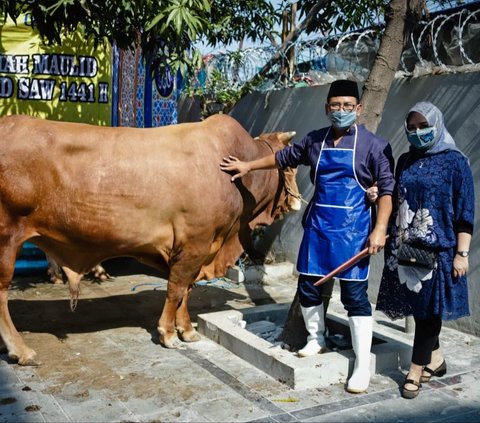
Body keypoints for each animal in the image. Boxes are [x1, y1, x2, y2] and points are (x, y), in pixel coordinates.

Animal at [0, 114, 300, 366]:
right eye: (292, 167)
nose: (297, 199)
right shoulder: (194, 243)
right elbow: (176, 289)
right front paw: (168, 333)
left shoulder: (197, 249)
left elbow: (187, 290)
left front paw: (186, 330)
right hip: (6, 239)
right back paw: (21, 350)